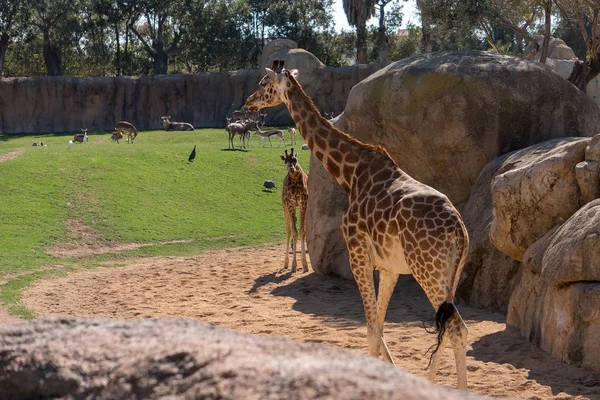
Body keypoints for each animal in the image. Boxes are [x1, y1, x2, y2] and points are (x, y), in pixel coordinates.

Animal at [246, 61, 472, 390]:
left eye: (264, 82)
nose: (249, 102)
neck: (350, 174)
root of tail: (461, 232)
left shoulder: (357, 254)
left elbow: (371, 329)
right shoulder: (389, 267)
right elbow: (379, 326)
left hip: (428, 271)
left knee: (454, 328)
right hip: (450, 275)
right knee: (455, 327)